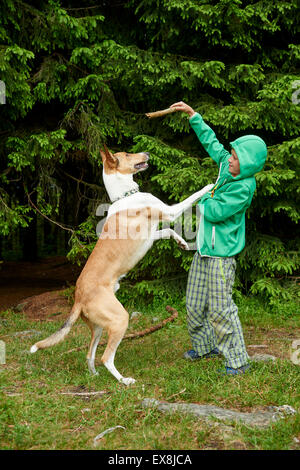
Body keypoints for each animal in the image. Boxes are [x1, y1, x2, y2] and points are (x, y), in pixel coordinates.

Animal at [30, 147, 213, 386]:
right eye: (127, 154)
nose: (147, 152)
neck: (126, 194)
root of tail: (78, 297)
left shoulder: (152, 235)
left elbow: (168, 231)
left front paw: (182, 242)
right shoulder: (169, 211)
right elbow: (191, 198)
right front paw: (210, 183)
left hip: (99, 327)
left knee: (90, 354)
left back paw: (95, 376)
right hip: (119, 320)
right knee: (106, 357)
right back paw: (124, 381)